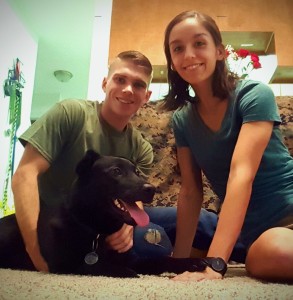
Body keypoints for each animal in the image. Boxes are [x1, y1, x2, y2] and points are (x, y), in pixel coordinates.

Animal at [0, 149, 208, 276]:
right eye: (116, 171)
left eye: (137, 172)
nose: (151, 189)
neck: (96, 231)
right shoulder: (64, 265)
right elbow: (95, 266)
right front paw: (126, 272)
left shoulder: (132, 259)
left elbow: (162, 260)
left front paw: (191, 263)